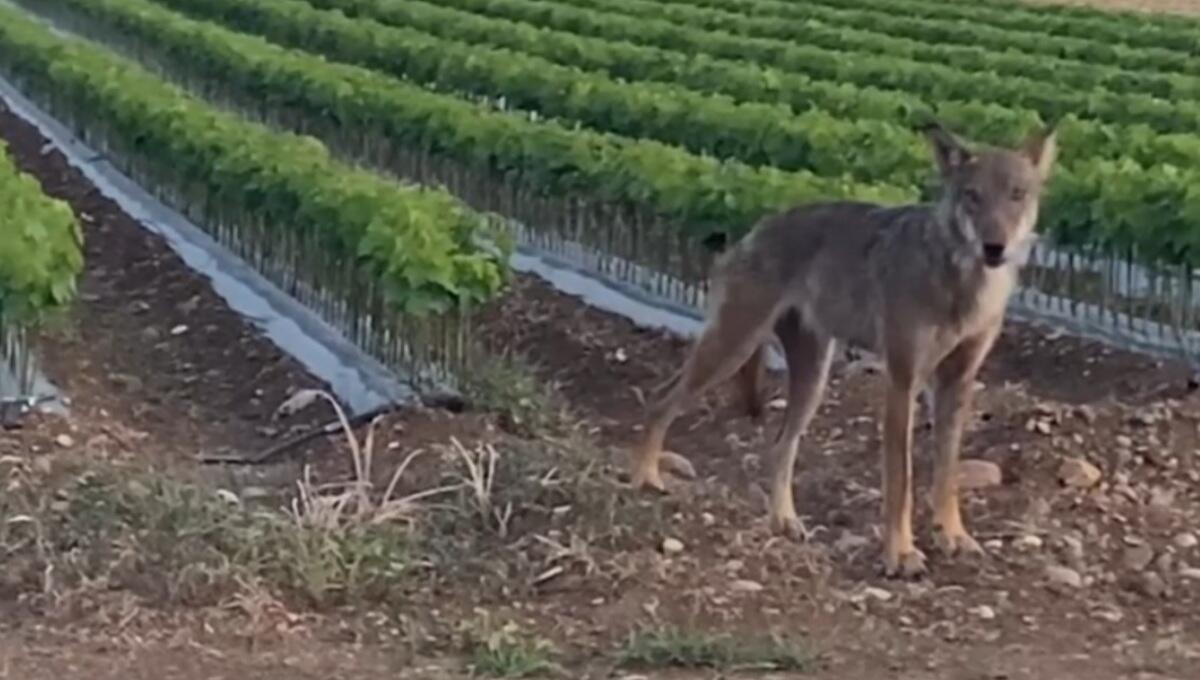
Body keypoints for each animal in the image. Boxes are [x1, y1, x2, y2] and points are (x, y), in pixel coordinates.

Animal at [629, 121, 1057, 577]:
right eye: (972, 196)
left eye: (1017, 195)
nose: (995, 247)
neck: (963, 283)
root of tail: (752, 230)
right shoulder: (902, 381)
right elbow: (901, 481)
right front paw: (900, 554)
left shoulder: (957, 383)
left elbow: (947, 475)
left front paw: (955, 537)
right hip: (731, 349)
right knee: (660, 399)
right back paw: (645, 478)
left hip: (810, 378)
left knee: (779, 445)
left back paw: (785, 521)